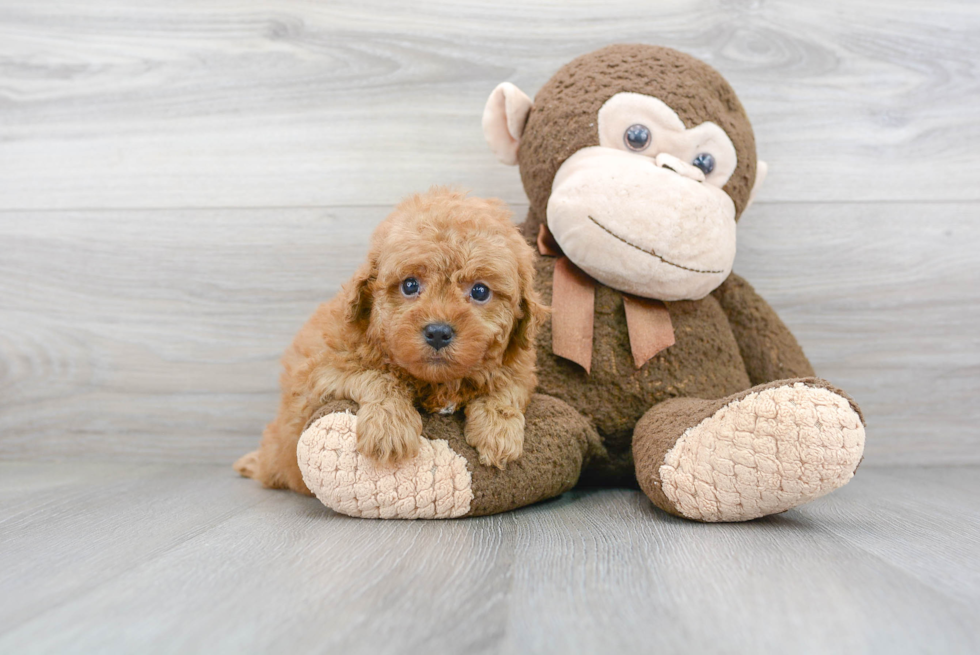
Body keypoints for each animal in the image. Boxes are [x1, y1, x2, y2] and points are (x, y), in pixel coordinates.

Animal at [234, 187, 548, 494]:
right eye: (410, 285)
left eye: (480, 291)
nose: (438, 332)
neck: (438, 384)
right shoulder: (320, 370)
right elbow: (377, 376)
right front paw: (390, 427)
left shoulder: (521, 368)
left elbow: (505, 388)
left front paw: (498, 431)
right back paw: (250, 463)